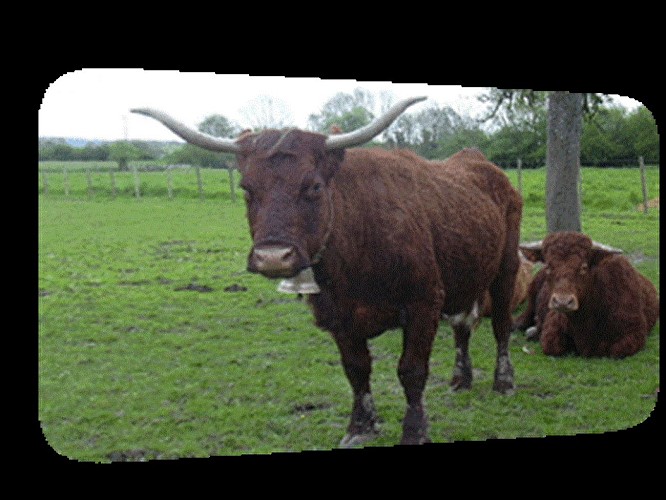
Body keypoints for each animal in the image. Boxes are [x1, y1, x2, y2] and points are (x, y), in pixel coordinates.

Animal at [132, 97, 523, 446]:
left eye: (314, 186)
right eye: (246, 189)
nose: (273, 256)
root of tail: (480, 163)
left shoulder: (423, 302)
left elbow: (411, 370)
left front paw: (414, 431)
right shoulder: (338, 316)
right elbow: (356, 370)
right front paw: (360, 427)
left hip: (505, 268)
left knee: (501, 325)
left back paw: (504, 382)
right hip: (467, 273)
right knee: (462, 325)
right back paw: (461, 378)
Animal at [513, 232, 659, 358]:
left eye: (583, 267)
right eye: (549, 266)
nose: (562, 302)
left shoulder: (635, 334)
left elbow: (617, 350)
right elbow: (552, 346)